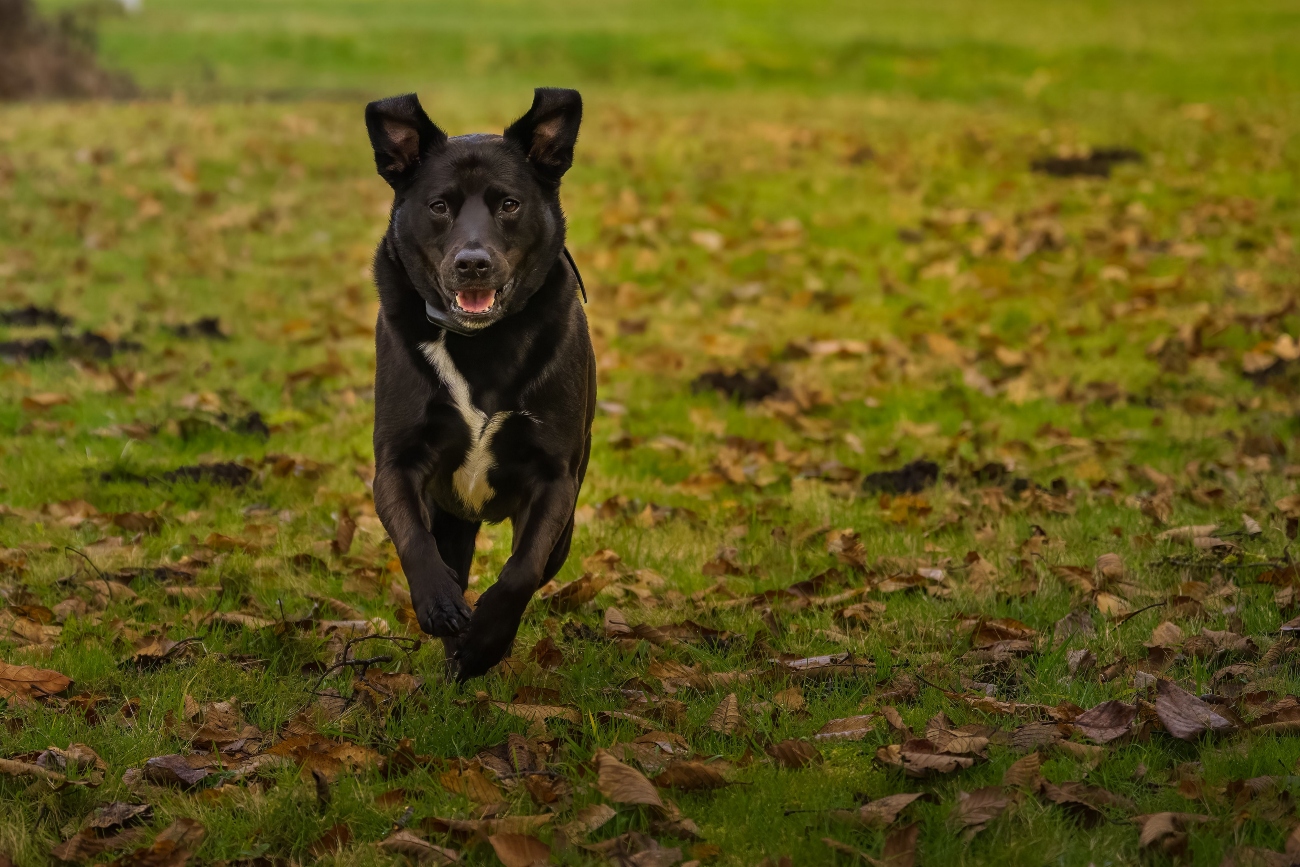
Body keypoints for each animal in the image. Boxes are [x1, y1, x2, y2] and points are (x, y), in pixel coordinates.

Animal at [361, 89, 595, 686]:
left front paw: (487, 640)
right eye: (439, 206)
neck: (483, 343)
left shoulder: (554, 479)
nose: (472, 264)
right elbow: (415, 540)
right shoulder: (397, 463)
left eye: (508, 205)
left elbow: (521, 571)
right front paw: (441, 605)